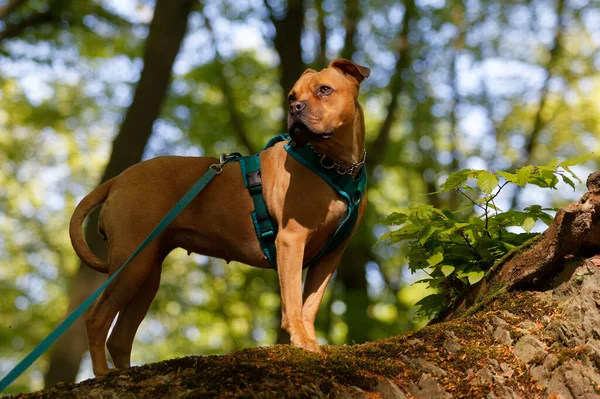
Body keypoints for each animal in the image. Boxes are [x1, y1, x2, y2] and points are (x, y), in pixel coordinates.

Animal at [70, 57, 370, 376]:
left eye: (325, 90)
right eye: (292, 96)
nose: (295, 108)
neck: (334, 164)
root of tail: (118, 179)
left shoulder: (330, 256)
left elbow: (309, 305)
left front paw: (311, 341)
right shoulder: (291, 241)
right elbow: (293, 302)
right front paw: (301, 342)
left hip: (146, 274)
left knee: (120, 337)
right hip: (131, 265)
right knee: (97, 318)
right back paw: (102, 374)